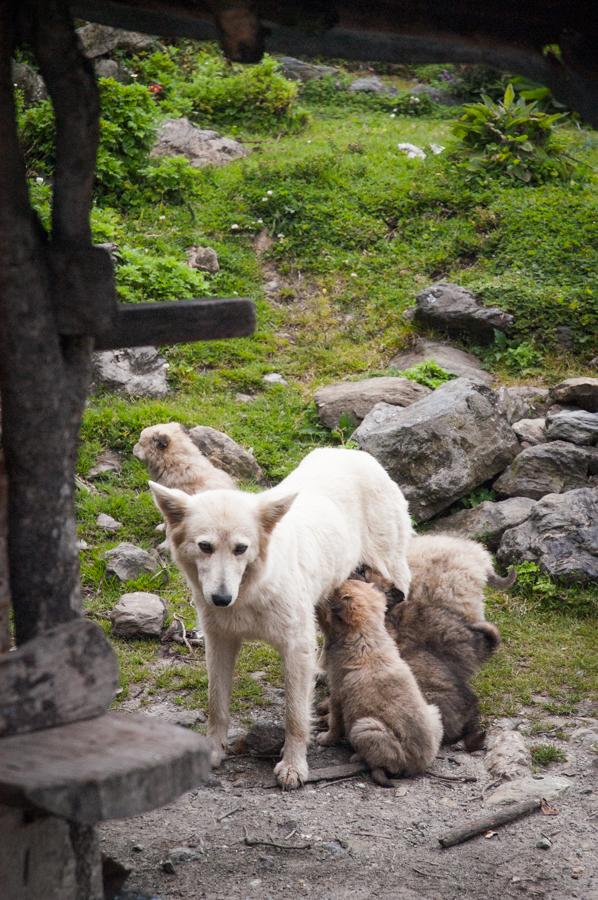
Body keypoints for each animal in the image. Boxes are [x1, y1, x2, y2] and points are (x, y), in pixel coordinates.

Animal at [150, 448, 412, 788]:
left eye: (240, 548)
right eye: (205, 546)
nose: (220, 599)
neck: (251, 590)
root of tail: (355, 452)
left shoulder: (295, 646)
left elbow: (295, 715)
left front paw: (293, 766)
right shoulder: (220, 642)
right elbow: (216, 704)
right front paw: (214, 752)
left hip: (393, 578)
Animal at [316, 580, 442, 784]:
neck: (364, 636)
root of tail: (419, 764)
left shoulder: (337, 694)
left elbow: (335, 723)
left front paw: (326, 738)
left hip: (365, 727)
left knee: (385, 764)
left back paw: (357, 757)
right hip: (433, 712)